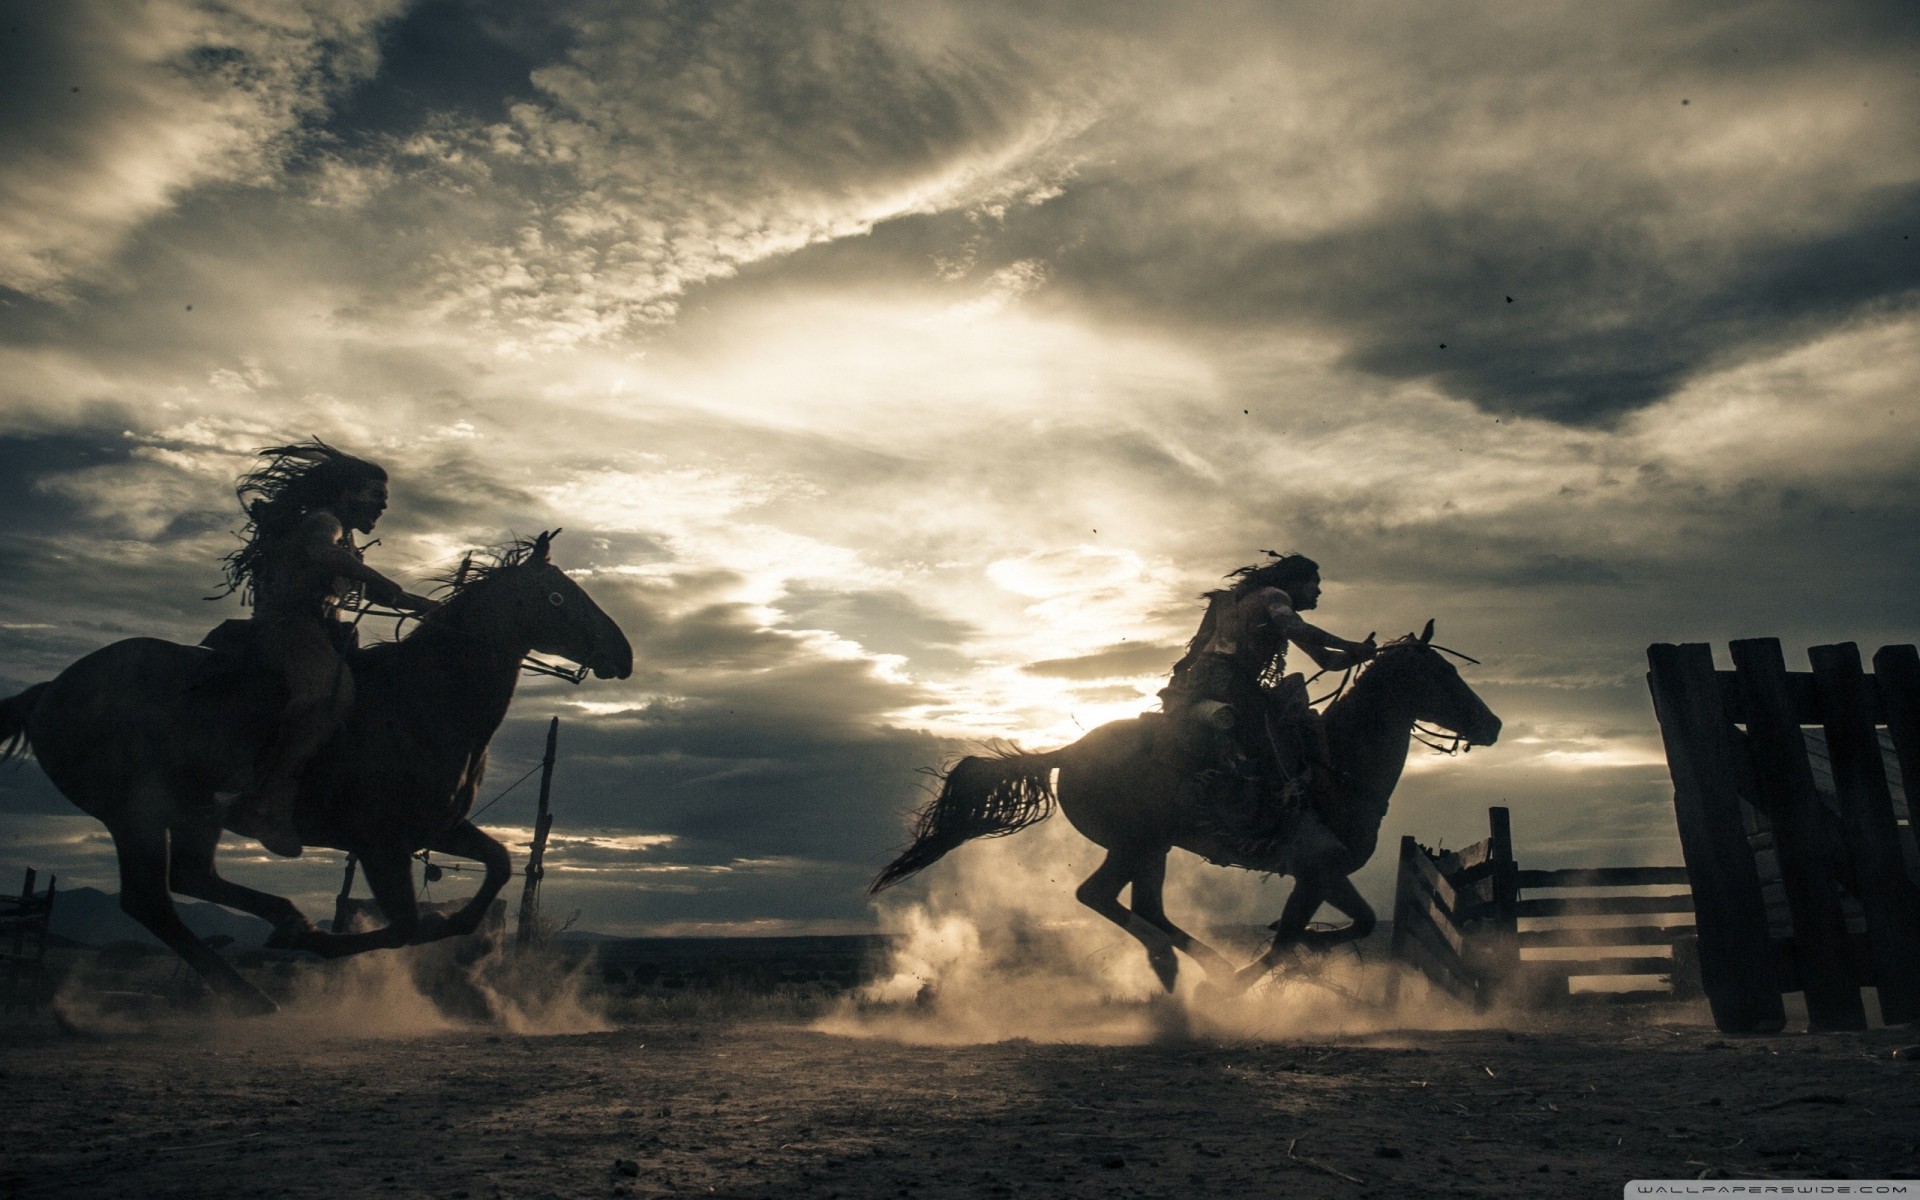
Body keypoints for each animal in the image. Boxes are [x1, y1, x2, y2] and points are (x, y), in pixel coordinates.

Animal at [0, 529, 633, 1013]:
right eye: (558, 597)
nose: (624, 654)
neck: (422, 698)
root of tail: (48, 691)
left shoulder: (438, 828)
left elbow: (498, 866)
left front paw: (468, 944)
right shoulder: (380, 843)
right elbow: (407, 926)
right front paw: (327, 945)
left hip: (190, 813)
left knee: (185, 882)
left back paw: (272, 948)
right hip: (136, 814)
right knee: (151, 900)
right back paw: (263, 973)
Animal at [871, 622, 1497, 990]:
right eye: (1442, 673)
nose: (1492, 724)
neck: (1337, 765)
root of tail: (1071, 750)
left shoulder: (1325, 873)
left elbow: (1359, 921)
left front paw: (1303, 953)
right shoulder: (1313, 871)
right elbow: (1289, 938)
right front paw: (1257, 974)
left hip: (1154, 848)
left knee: (1142, 905)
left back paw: (1186, 966)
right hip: (1137, 842)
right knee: (1102, 896)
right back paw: (1187, 967)